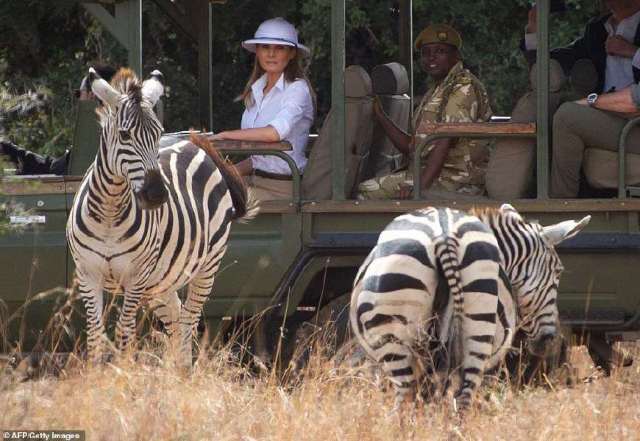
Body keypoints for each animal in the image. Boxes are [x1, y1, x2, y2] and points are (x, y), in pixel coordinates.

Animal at [65, 67, 255, 366]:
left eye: (157, 133)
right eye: (124, 135)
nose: (155, 194)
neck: (109, 213)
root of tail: (191, 143)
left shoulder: (136, 277)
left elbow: (124, 330)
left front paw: (123, 373)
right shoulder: (87, 274)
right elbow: (95, 333)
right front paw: (97, 374)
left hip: (207, 265)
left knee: (189, 319)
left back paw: (184, 372)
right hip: (161, 279)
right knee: (175, 317)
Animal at [350, 203, 592, 410]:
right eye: (558, 271)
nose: (549, 340)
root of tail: (444, 237)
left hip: (397, 336)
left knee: (407, 398)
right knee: (461, 399)